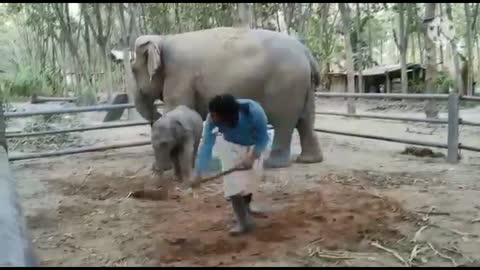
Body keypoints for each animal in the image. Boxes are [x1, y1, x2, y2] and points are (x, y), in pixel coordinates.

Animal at [132, 26, 322, 168]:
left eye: (133, 70)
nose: (155, 116)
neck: (163, 39)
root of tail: (306, 52)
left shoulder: (179, 75)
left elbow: (177, 107)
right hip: (304, 84)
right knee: (305, 119)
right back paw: (309, 160)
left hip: (286, 84)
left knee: (284, 121)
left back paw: (272, 164)